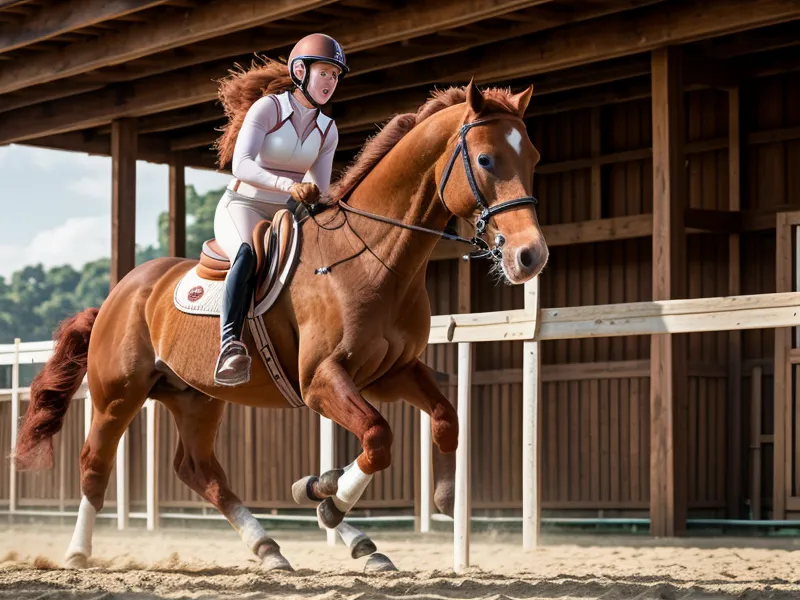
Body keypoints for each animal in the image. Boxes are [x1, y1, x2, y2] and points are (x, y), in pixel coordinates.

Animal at [12, 80, 548, 572]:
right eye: (485, 160)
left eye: (534, 158)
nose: (530, 256)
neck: (373, 258)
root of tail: (118, 293)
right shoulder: (321, 379)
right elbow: (378, 437)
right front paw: (327, 497)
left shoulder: (391, 371)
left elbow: (443, 418)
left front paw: (407, 495)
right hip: (118, 395)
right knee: (96, 463)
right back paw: (77, 553)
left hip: (195, 397)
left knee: (200, 470)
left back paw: (276, 547)